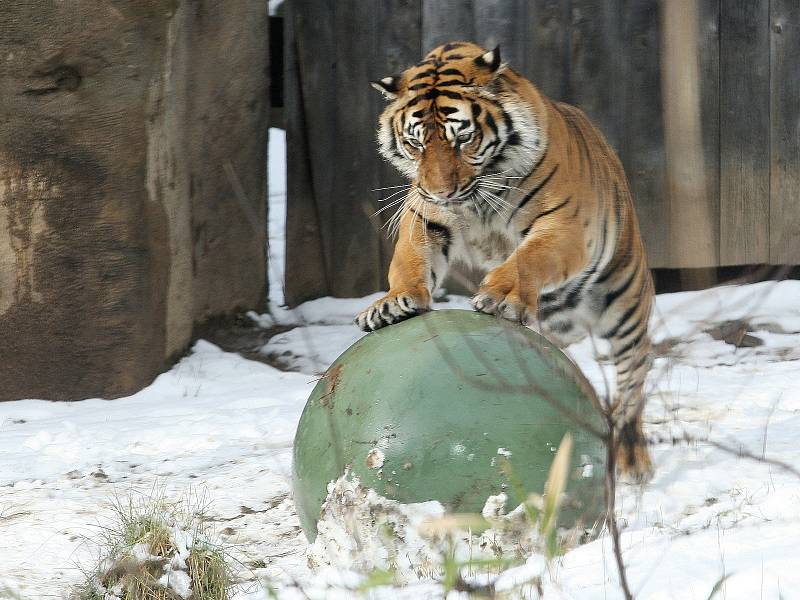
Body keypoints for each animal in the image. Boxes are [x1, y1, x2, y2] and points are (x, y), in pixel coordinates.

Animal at [356, 42, 656, 480]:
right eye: (417, 143)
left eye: (462, 138)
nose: (443, 192)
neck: (479, 202)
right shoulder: (424, 215)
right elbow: (408, 262)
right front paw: (393, 302)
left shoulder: (564, 224)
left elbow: (527, 258)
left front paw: (501, 297)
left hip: (626, 310)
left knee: (633, 385)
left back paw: (632, 458)